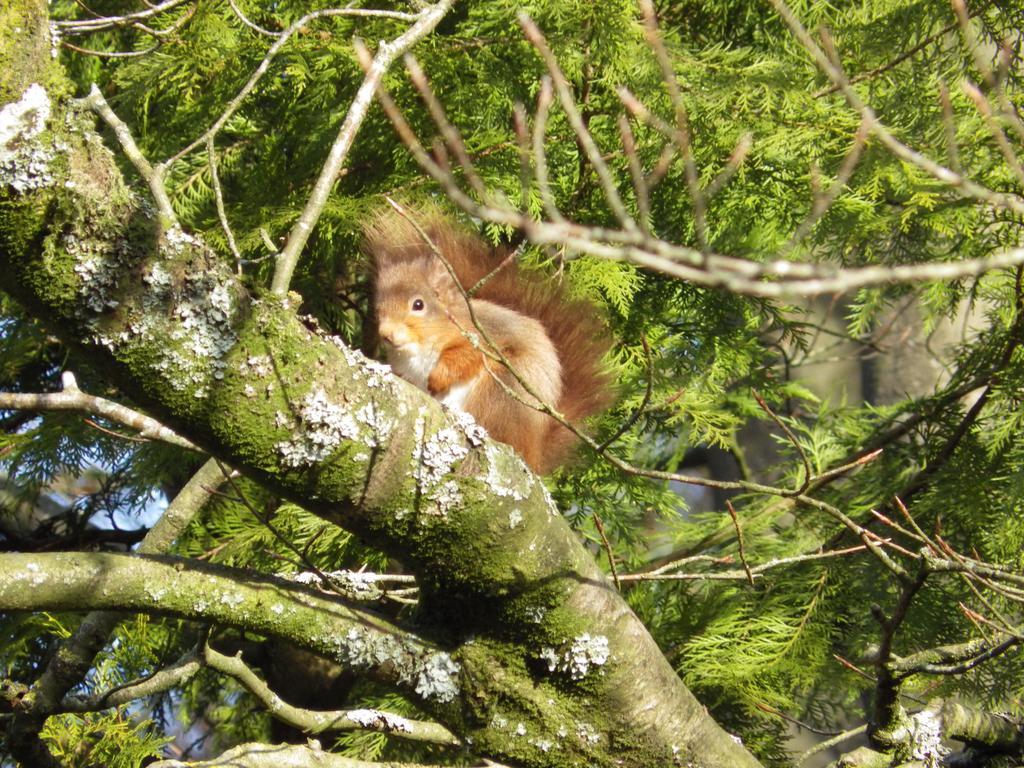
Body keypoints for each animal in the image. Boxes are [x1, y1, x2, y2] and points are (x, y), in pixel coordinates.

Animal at [366, 210, 610, 475]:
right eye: (378, 308)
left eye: (418, 304)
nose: (386, 334)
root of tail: (533, 456)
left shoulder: (485, 338)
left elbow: (466, 356)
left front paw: (438, 377)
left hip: (502, 389)